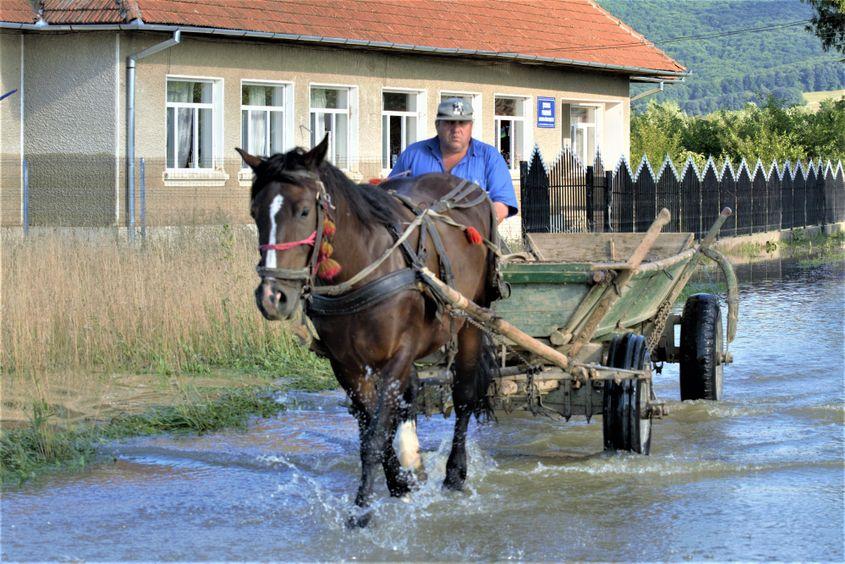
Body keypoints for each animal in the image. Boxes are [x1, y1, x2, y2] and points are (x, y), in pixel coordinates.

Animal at [234, 137, 498, 528]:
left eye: (303, 211)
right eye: (255, 213)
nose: (272, 297)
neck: (364, 266)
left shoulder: (399, 354)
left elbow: (375, 434)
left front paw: (361, 511)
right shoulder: (345, 365)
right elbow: (374, 429)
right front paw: (398, 483)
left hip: (470, 319)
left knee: (464, 397)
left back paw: (454, 474)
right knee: (410, 398)